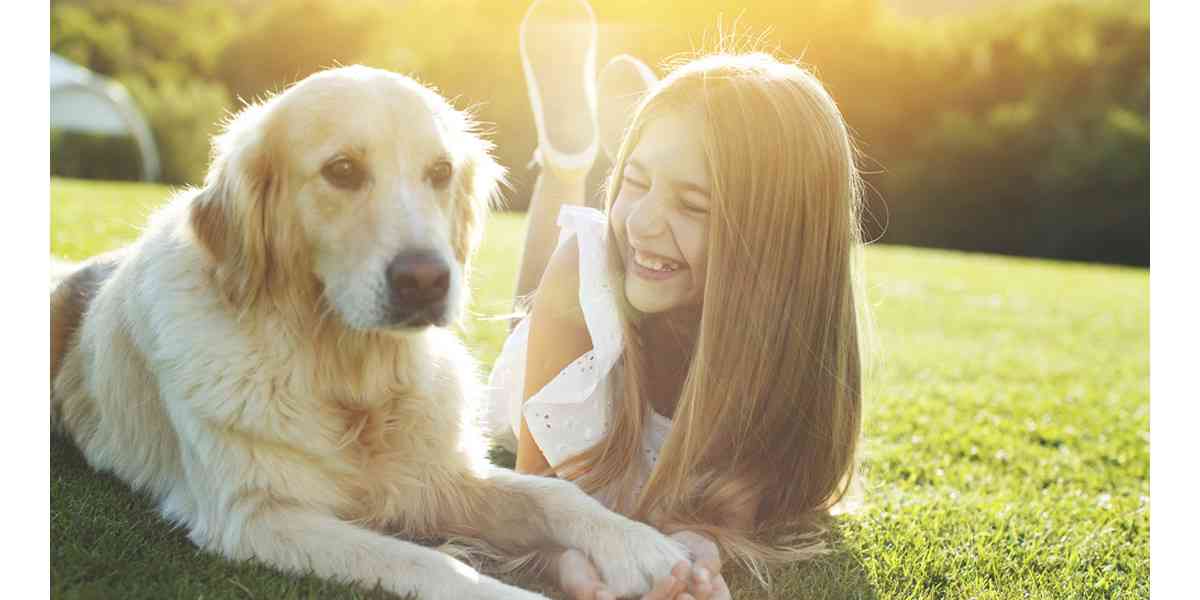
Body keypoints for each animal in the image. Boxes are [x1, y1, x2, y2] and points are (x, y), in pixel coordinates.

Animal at [51, 65, 686, 600]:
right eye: (342, 170)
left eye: (440, 172)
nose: (425, 280)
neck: (348, 373)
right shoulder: (259, 516)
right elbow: (429, 561)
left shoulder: (440, 477)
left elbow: (553, 494)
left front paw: (639, 545)